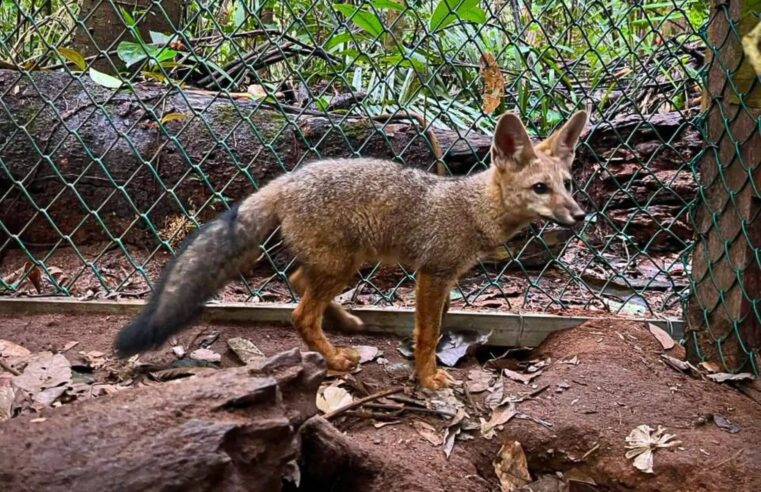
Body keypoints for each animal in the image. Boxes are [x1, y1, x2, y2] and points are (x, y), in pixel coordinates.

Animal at [114, 110, 588, 389]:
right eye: (540, 188)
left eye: (567, 184)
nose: (581, 215)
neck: (473, 207)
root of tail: (288, 179)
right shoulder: (433, 274)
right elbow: (427, 333)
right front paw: (428, 377)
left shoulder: (447, 278)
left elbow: (437, 328)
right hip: (343, 266)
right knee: (299, 313)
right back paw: (335, 357)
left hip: (345, 263)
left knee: (297, 280)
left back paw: (343, 321)